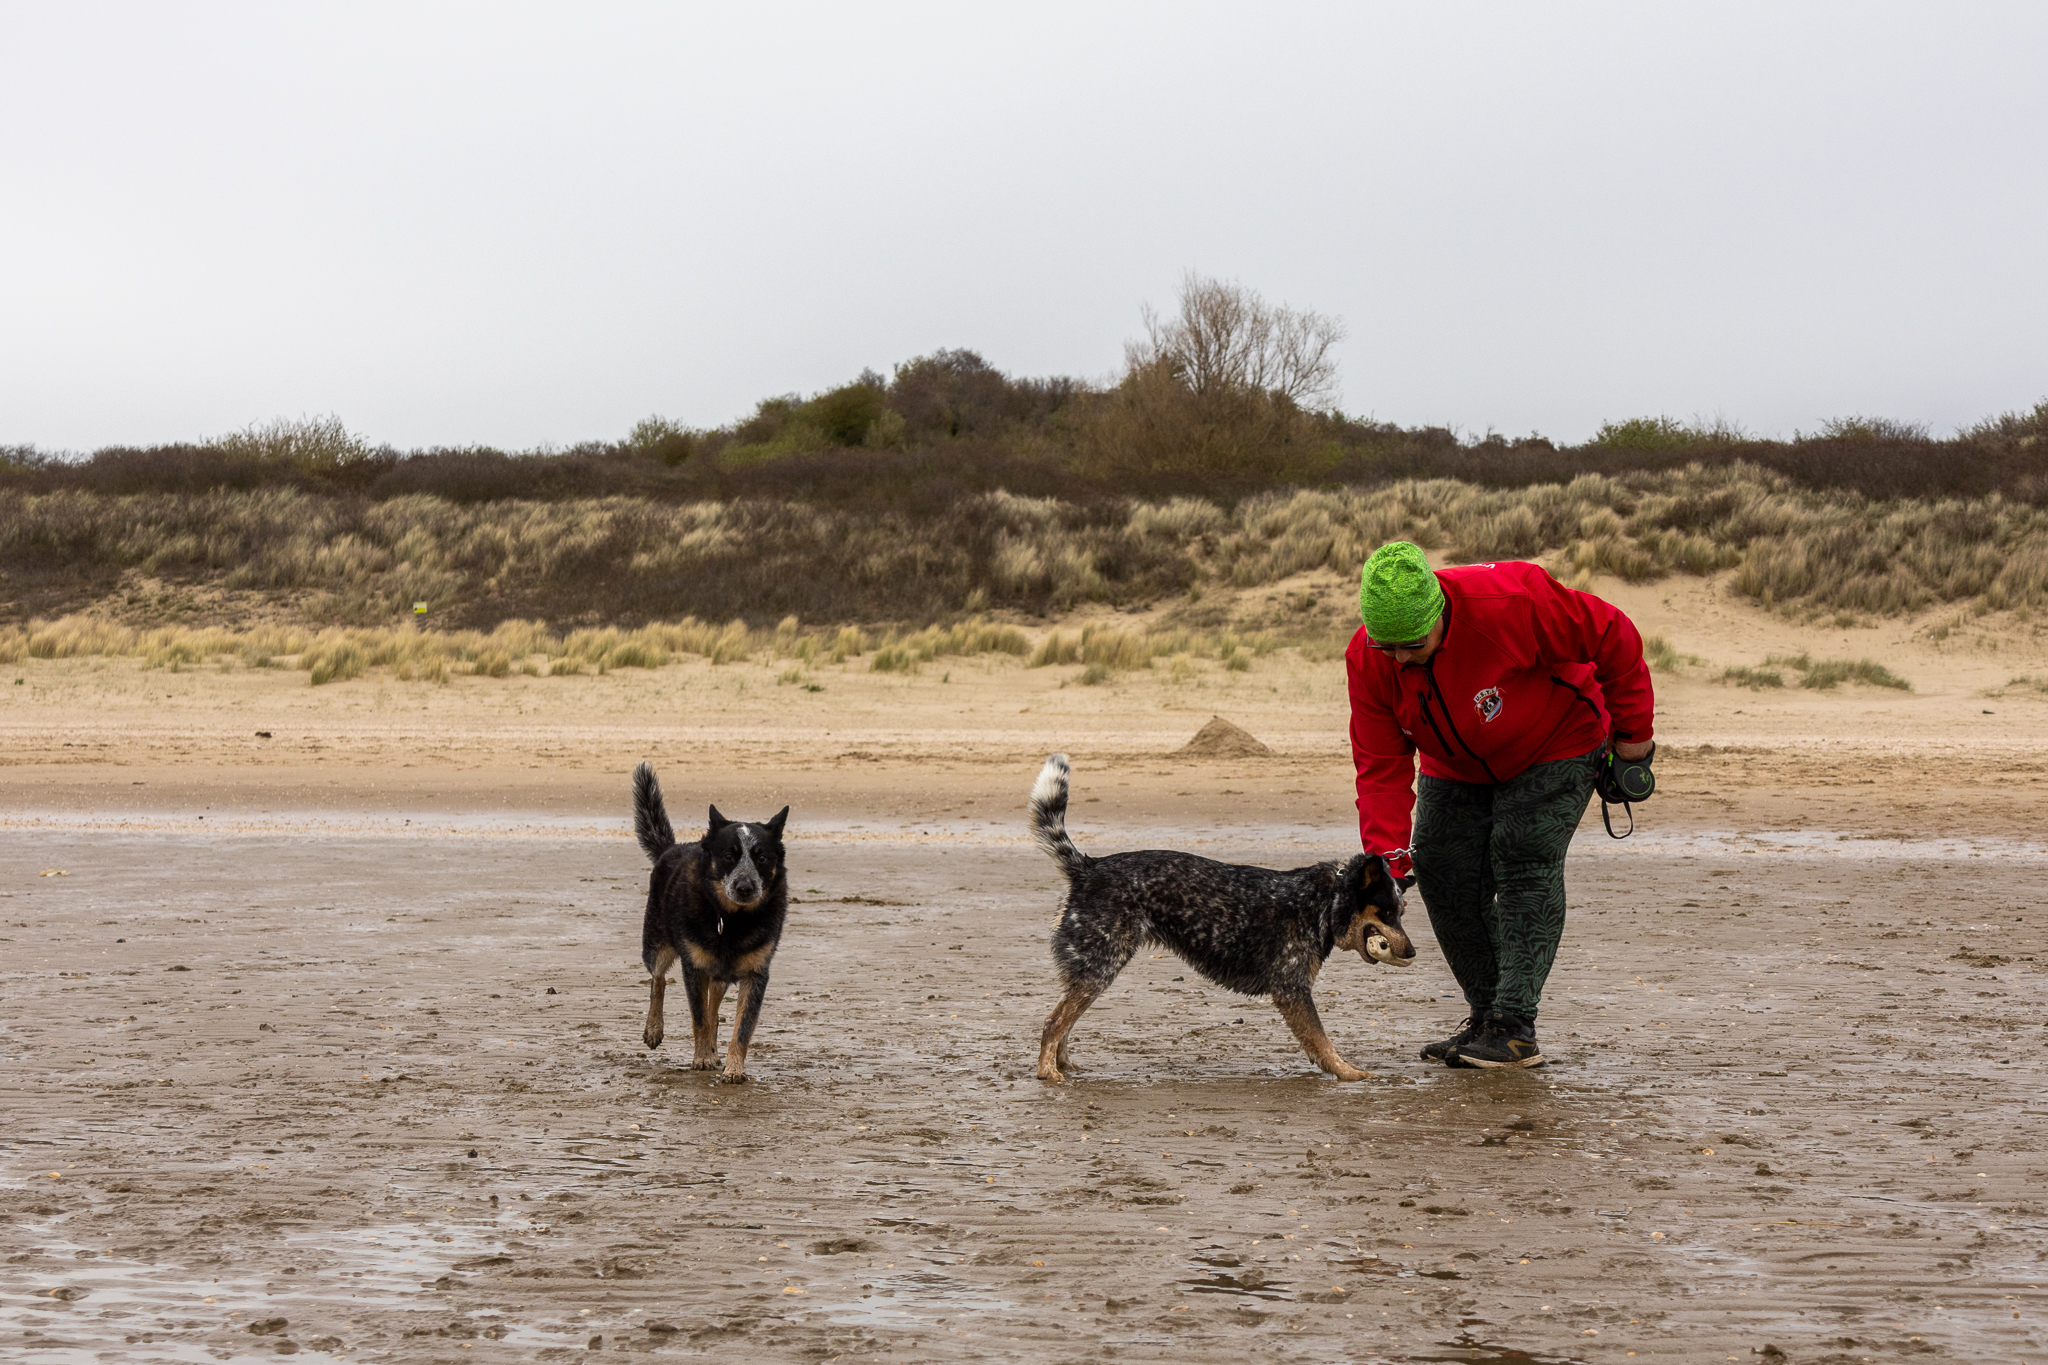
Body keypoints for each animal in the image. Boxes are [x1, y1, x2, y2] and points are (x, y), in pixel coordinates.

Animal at [633, 762, 790, 1083]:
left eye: (762, 858)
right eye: (729, 855)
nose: (745, 887)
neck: (732, 920)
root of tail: (671, 848)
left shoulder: (755, 974)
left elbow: (740, 1027)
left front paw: (733, 1067)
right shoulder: (694, 966)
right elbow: (699, 1017)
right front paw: (703, 1057)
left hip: (721, 973)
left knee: (714, 1006)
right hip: (657, 945)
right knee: (658, 979)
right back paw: (654, 1028)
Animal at [1027, 753, 1415, 1083]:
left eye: (1402, 912)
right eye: (1386, 912)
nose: (1412, 952)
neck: (1323, 901)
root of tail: (1088, 867)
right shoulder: (1292, 991)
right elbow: (1323, 1042)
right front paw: (1348, 1072)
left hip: (1093, 973)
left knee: (1063, 1024)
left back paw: (1064, 1065)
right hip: (1100, 969)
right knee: (1052, 1023)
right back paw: (1048, 1071)